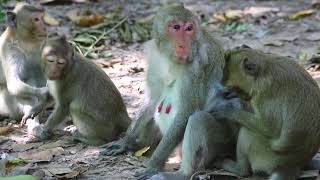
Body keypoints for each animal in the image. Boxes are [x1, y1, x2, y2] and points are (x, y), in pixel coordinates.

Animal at [101, 3, 241, 179]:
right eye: (176, 27)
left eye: (189, 28)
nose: (183, 45)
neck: (171, 58)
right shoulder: (154, 55)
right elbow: (152, 99)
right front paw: (126, 141)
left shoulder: (196, 66)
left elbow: (186, 113)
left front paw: (153, 165)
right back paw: (137, 145)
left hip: (221, 141)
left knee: (197, 119)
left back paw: (182, 173)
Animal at [212, 48, 320, 180]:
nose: (225, 86)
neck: (265, 69)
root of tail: (291, 165)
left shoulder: (265, 95)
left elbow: (270, 128)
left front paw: (227, 112)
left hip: (265, 156)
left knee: (248, 131)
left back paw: (240, 169)